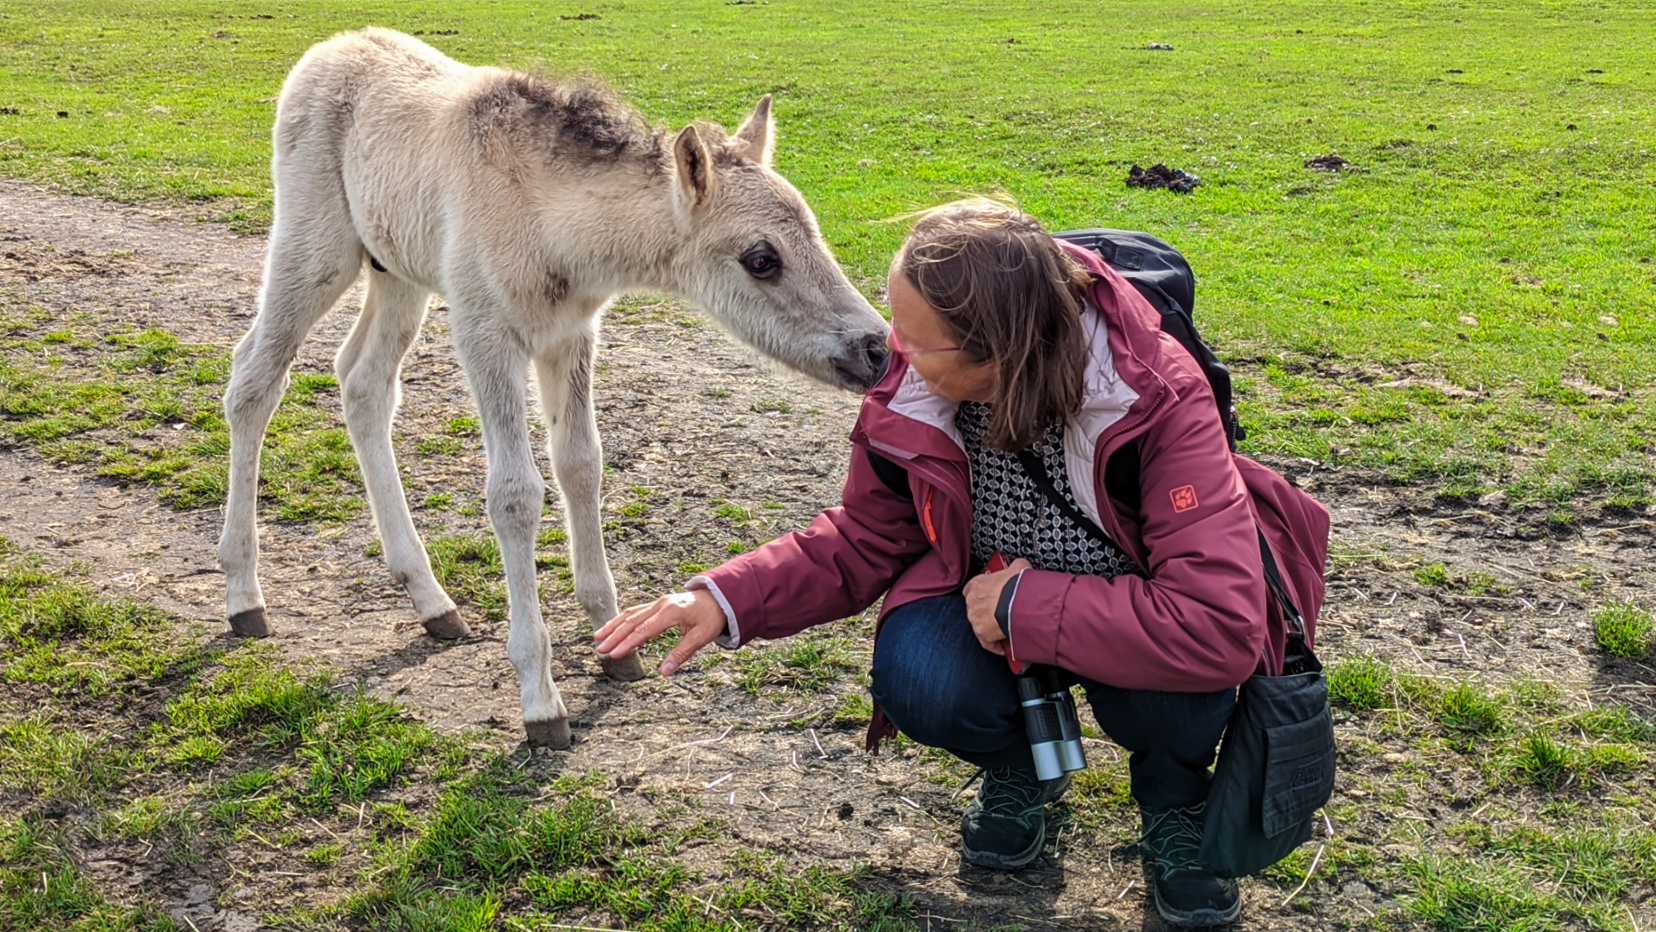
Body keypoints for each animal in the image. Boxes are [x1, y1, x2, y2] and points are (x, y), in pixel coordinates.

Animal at [225, 25, 894, 748]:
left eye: (817, 232)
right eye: (761, 259)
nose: (876, 349)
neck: (549, 221)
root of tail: (335, 47)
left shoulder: (570, 337)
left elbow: (580, 465)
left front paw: (614, 639)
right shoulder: (485, 334)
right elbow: (515, 494)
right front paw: (539, 698)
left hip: (395, 271)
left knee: (363, 384)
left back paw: (430, 600)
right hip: (316, 250)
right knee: (254, 379)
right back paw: (243, 596)